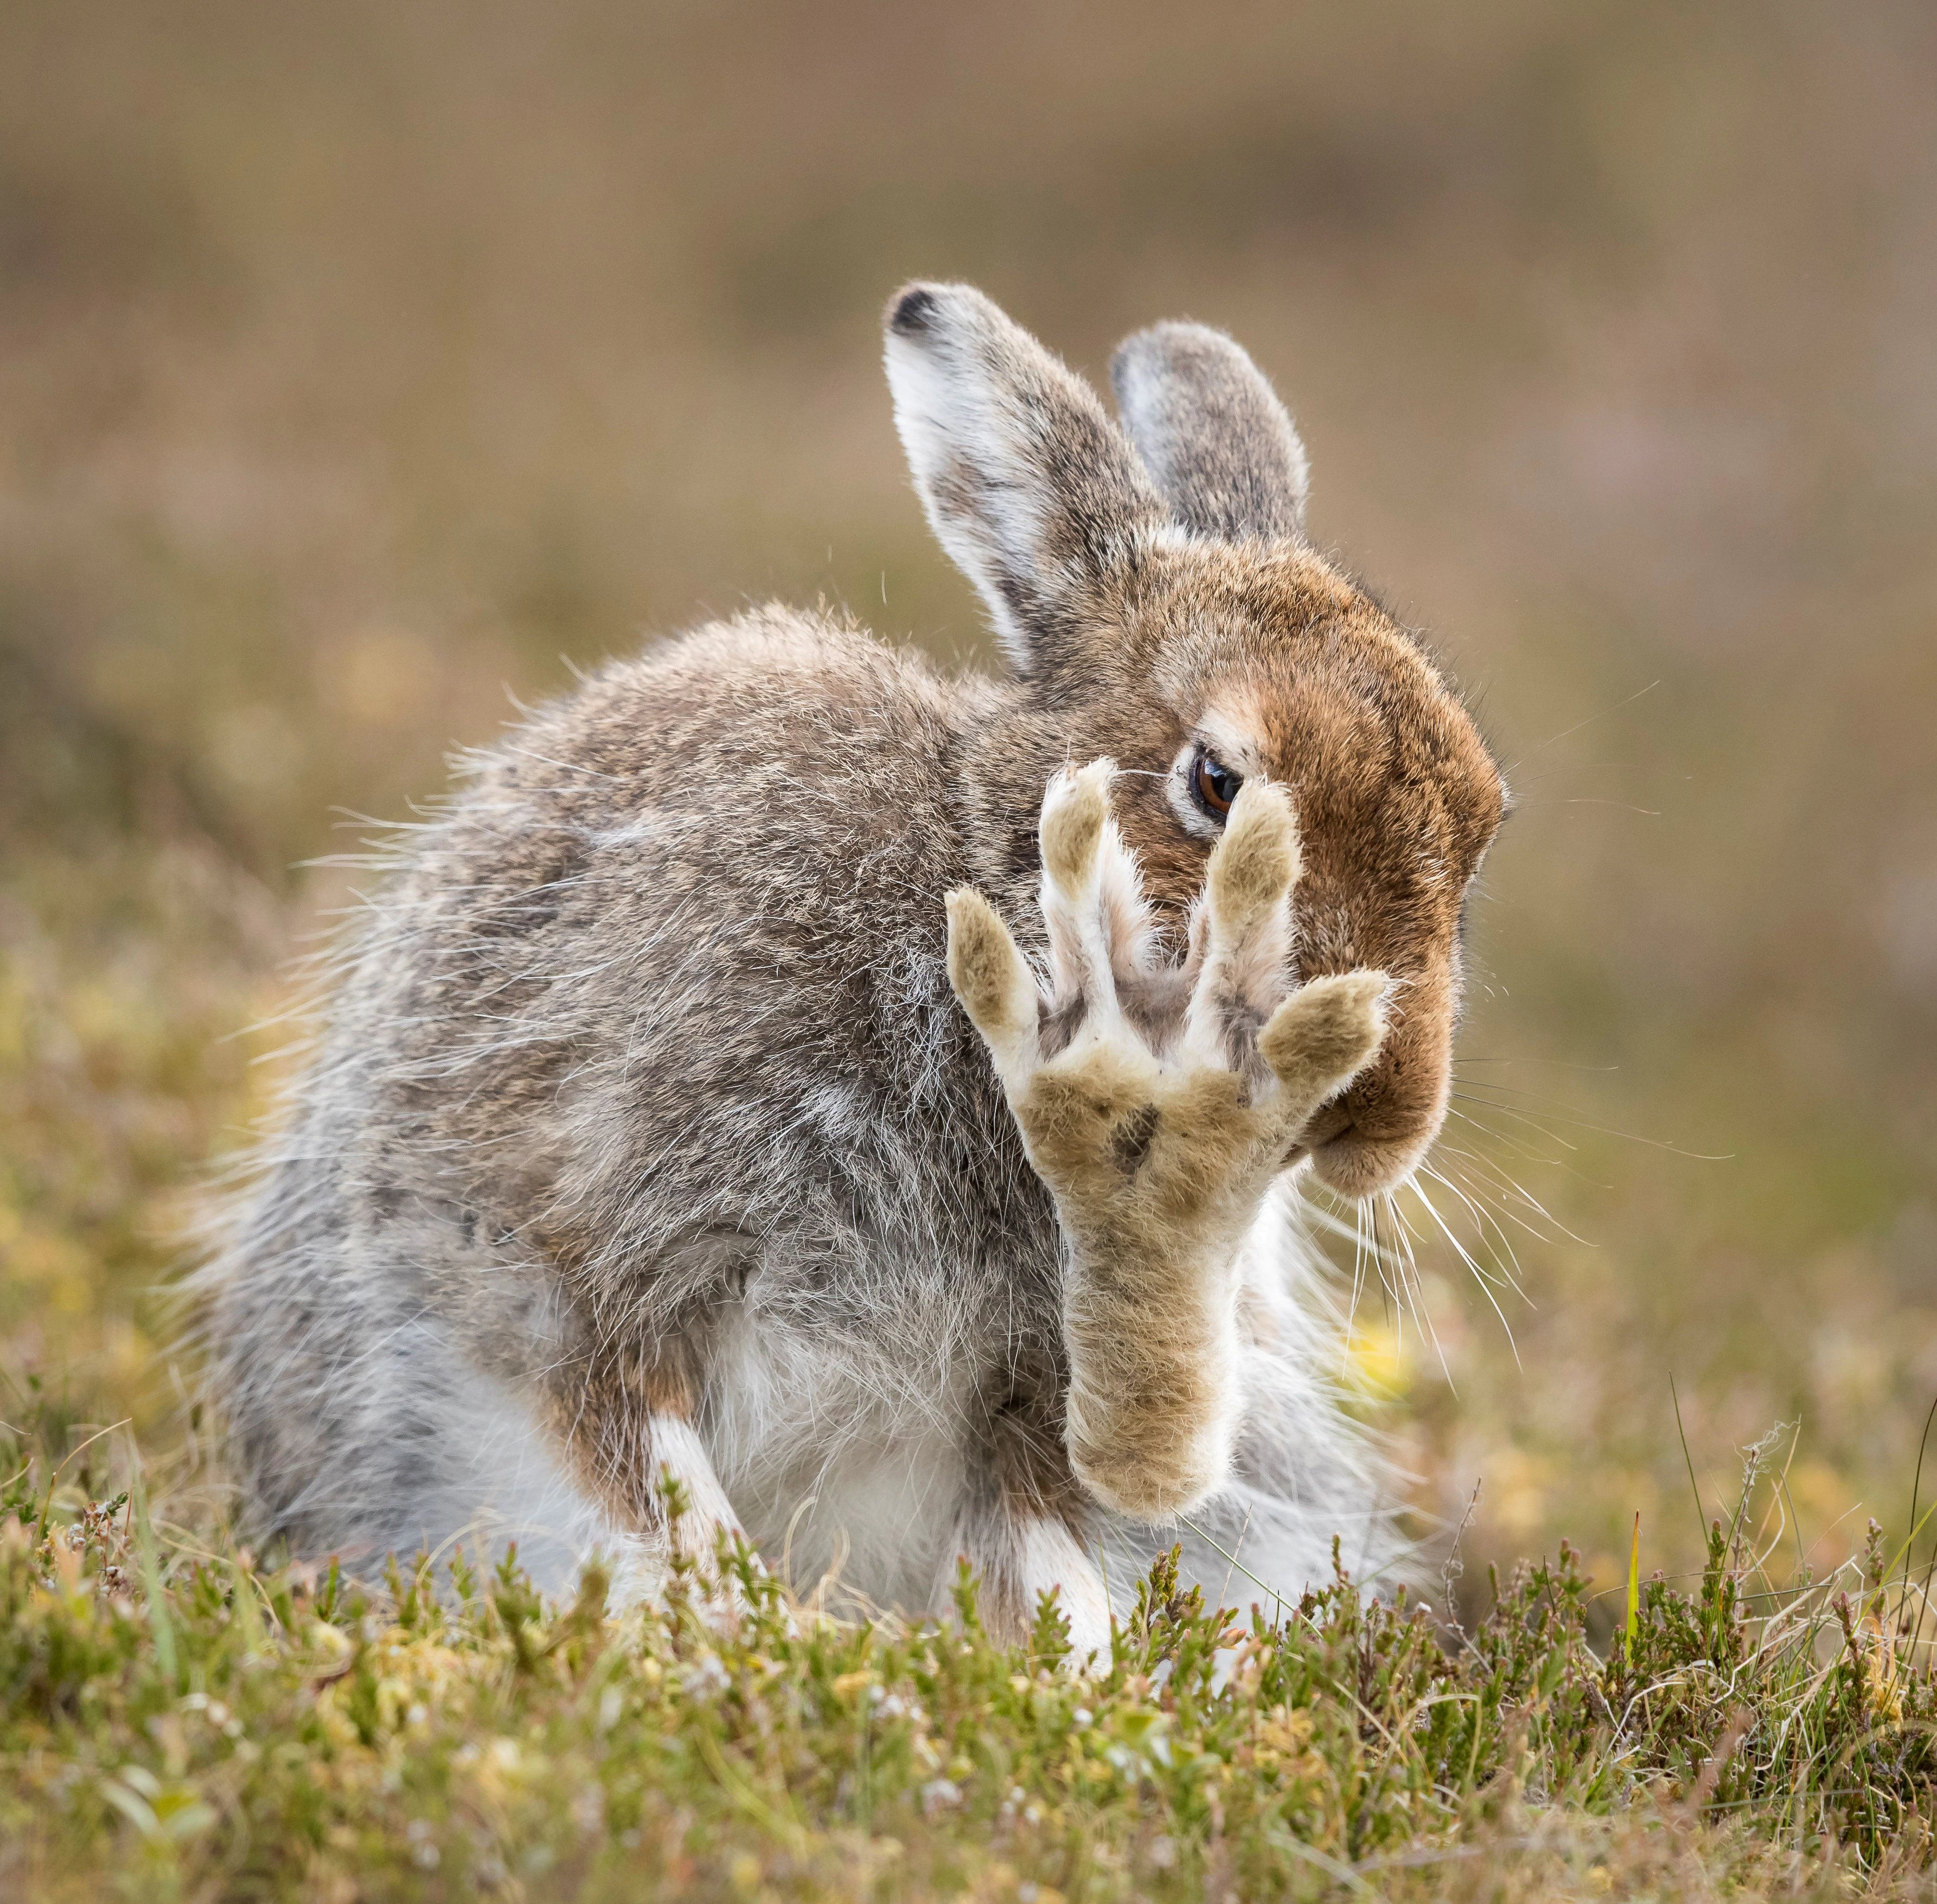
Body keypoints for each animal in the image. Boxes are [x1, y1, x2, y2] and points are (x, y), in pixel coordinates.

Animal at [205, 282, 1506, 1649]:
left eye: (1485, 824)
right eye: (1215, 784)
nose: (1386, 1115)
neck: (981, 927)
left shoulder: (1024, 1397)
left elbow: (1044, 1566)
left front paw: (1060, 1683)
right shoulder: (563, 1251)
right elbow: (653, 1483)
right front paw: (763, 1643)